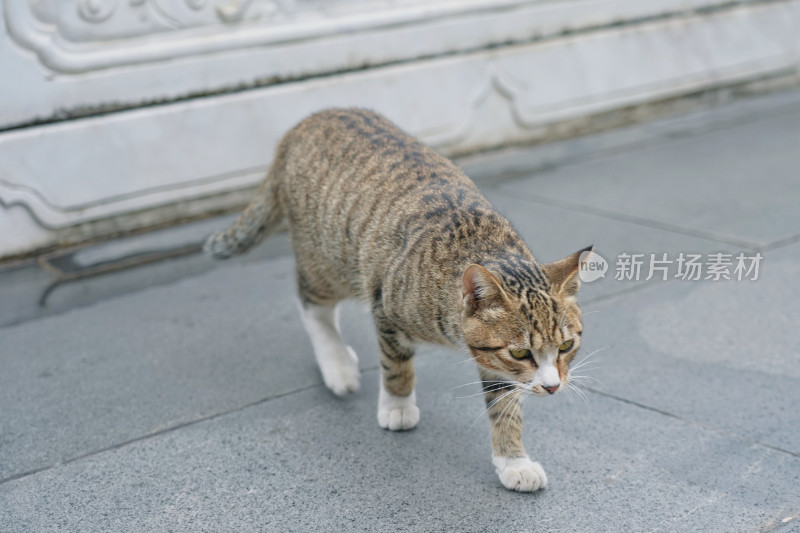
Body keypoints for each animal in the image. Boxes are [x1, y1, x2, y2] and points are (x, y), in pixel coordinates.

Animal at [206, 108, 592, 490]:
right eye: (521, 353)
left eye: (566, 346)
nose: (553, 387)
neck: (483, 244)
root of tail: (308, 120)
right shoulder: (386, 308)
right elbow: (397, 367)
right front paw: (397, 406)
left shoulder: (493, 360)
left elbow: (505, 405)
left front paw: (513, 460)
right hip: (327, 258)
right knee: (312, 304)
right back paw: (336, 363)